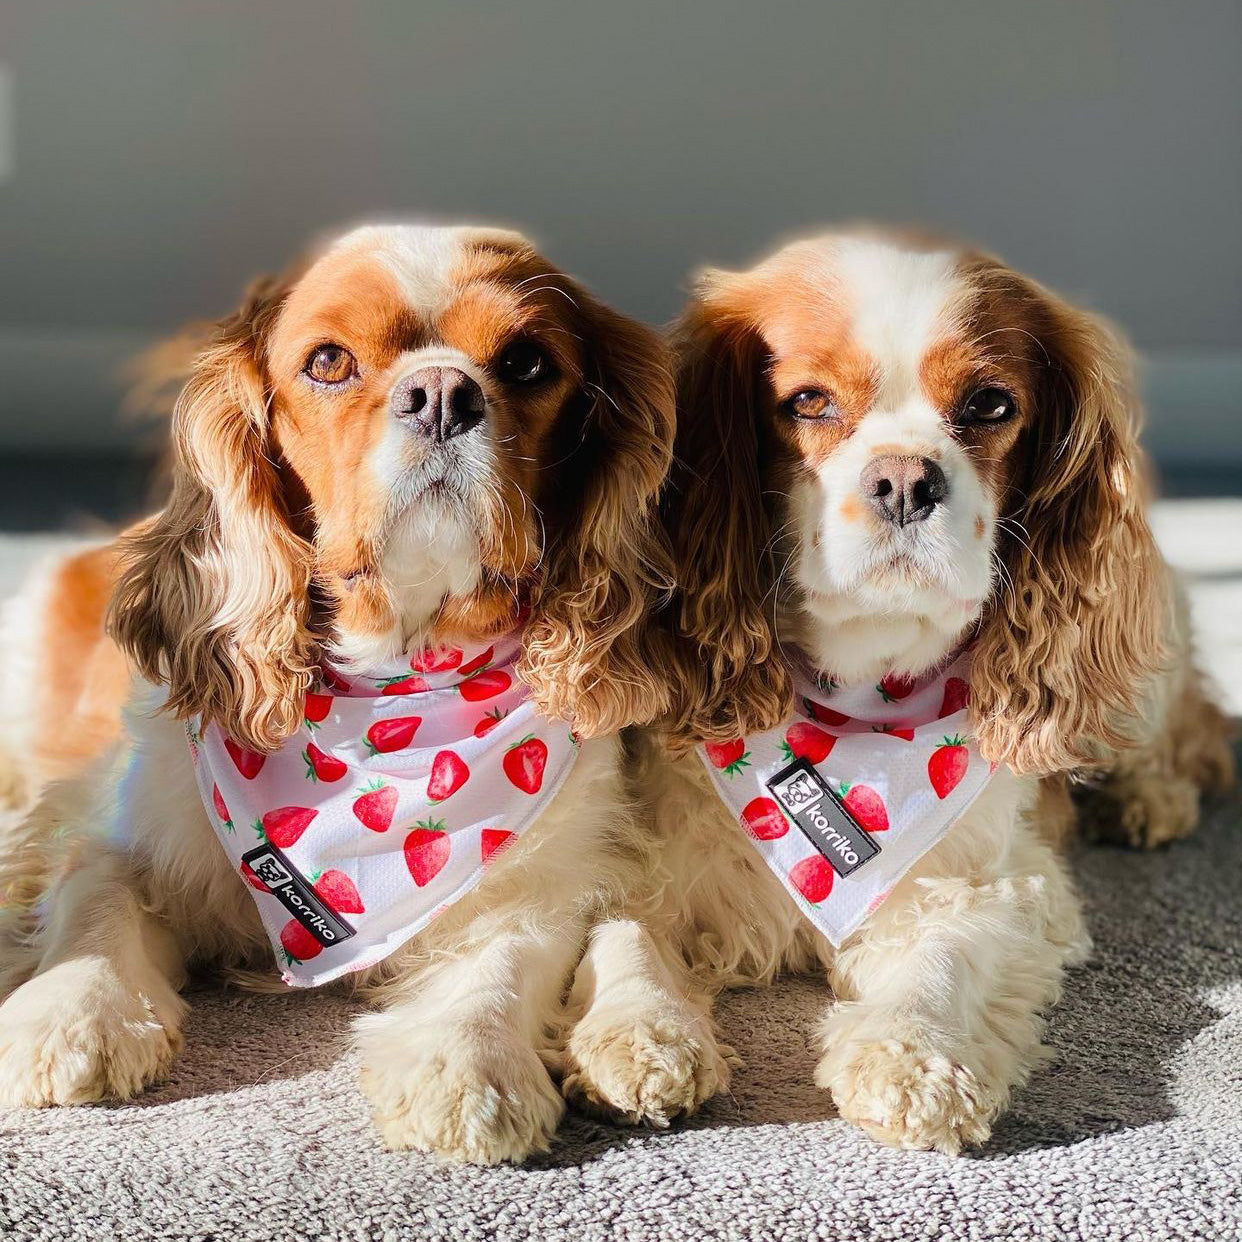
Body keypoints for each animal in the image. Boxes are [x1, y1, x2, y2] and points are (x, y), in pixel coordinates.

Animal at [0, 223, 680, 1162]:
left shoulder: (544, 883)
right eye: (327, 362)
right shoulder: (124, 822)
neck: (393, 695)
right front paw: (68, 1014)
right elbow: (96, 895)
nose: (441, 396)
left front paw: (465, 1064)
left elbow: (502, 961)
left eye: (528, 363)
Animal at [561, 231, 1232, 1152]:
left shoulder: (1001, 880)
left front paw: (915, 1056)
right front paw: (637, 1034)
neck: (858, 704)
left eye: (989, 404)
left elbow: (947, 953)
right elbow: (620, 928)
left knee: (1192, 730)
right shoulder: (645, 851)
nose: (907, 480)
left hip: (1149, 642)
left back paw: (1146, 799)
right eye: (808, 401)